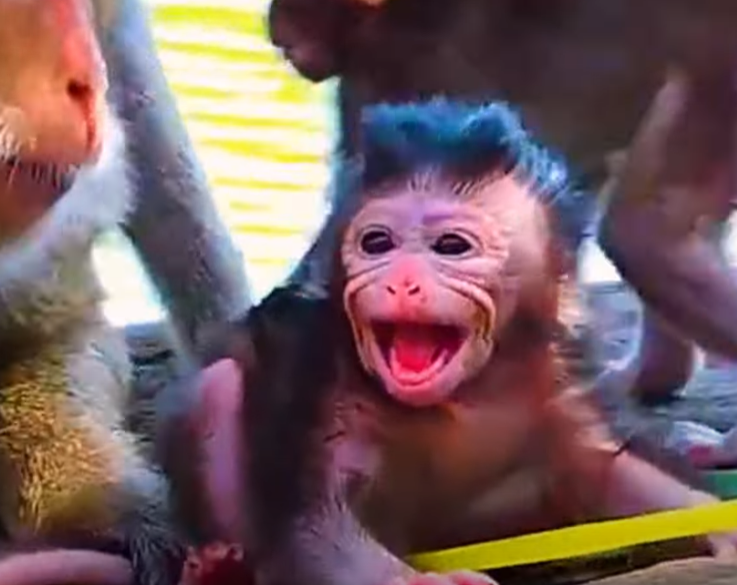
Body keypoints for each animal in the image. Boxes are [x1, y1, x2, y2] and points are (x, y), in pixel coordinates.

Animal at [163, 100, 737, 585]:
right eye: (377, 243)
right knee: (220, 385)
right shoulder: (306, 355)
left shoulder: (552, 381)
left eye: (450, 247)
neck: (460, 396)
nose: (402, 281)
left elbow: (605, 473)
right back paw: (217, 570)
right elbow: (310, 526)